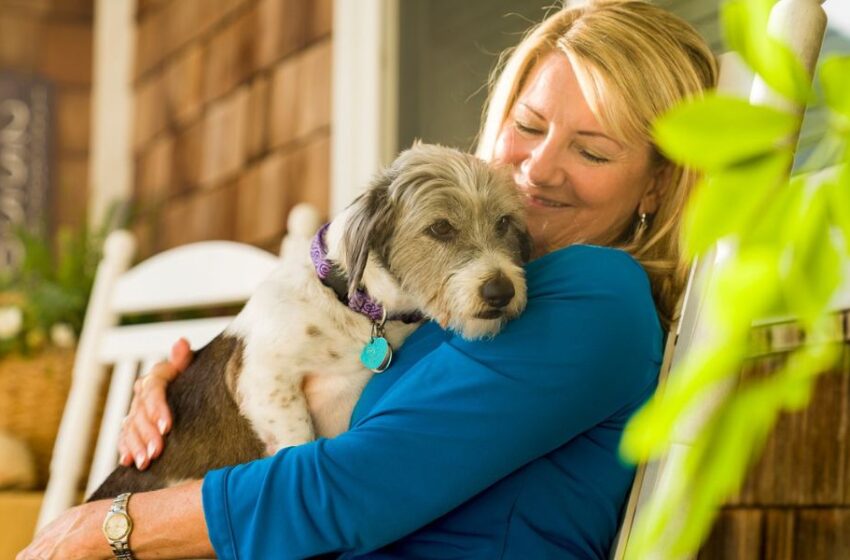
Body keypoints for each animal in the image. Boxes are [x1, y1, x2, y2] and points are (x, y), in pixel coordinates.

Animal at [89, 143, 528, 498]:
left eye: (504, 222)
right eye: (440, 227)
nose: (501, 292)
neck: (359, 310)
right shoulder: (262, 378)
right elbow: (298, 437)